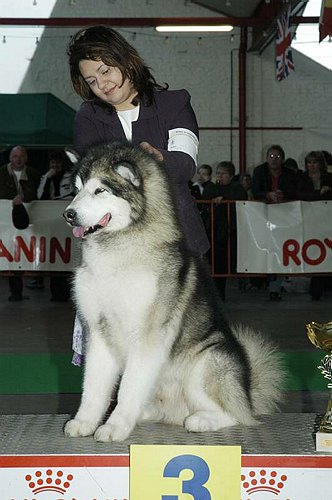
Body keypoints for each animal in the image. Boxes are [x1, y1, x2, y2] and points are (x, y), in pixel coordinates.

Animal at [63, 142, 284, 442]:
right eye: (76, 189)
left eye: (100, 190)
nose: (68, 214)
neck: (117, 254)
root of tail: (247, 395)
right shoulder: (98, 332)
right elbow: (94, 388)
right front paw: (85, 422)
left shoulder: (147, 336)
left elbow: (128, 389)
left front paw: (115, 427)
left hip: (206, 363)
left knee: (235, 416)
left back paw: (201, 420)